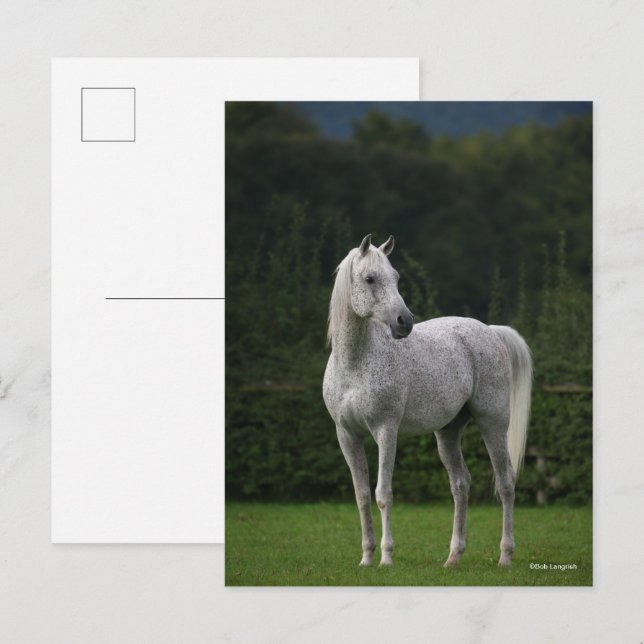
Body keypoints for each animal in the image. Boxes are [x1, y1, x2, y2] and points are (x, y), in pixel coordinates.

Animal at [323, 234, 532, 568]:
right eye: (370, 279)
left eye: (395, 277)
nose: (404, 322)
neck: (354, 364)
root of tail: (490, 331)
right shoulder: (347, 435)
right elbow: (362, 496)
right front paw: (366, 558)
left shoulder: (386, 431)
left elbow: (383, 494)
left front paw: (386, 558)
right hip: (447, 433)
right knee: (460, 484)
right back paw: (453, 557)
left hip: (493, 424)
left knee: (506, 484)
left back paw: (505, 557)